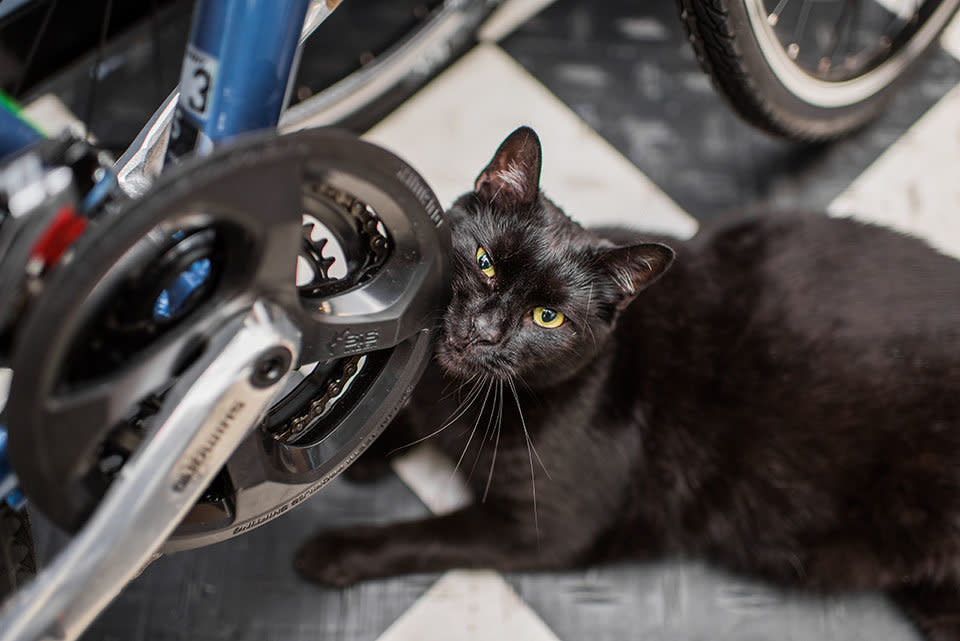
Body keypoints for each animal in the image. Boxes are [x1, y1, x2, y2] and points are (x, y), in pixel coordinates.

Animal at [298, 127, 960, 640]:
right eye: (485, 262)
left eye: (548, 317)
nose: (483, 331)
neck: (461, 395)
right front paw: (366, 447)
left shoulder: (545, 531)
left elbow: (432, 536)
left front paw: (338, 551)